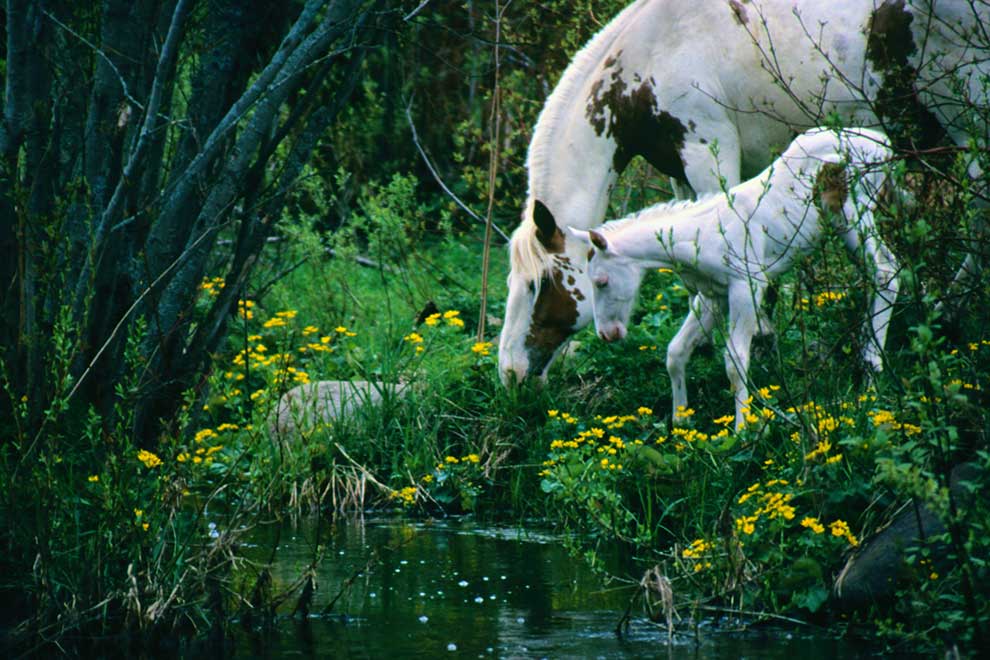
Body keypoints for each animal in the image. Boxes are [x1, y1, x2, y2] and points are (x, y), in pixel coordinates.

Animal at [500, 0, 988, 384]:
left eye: (539, 284)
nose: (510, 373)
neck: (654, 55)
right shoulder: (680, 172)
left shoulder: (707, 154)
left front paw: (756, 335)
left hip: (970, 120)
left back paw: (944, 312)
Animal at [568, 128, 904, 428]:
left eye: (600, 281)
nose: (607, 334)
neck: (701, 234)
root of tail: (883, 145)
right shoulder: (713, 294)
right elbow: (676, 351)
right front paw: (681, 422)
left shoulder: (747, 285)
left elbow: (735, 361)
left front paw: (743, 431)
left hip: (851, 213)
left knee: (887, 272)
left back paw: (871, 375)